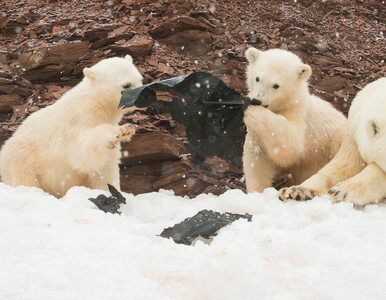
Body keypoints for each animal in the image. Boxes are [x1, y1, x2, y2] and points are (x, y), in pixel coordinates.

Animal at [0, 55, 143, 198]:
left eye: (140, 79)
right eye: (126, 85)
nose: (144, 95)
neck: (97, 103)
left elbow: (106, 166)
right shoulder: (78, 120)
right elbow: (84, 150)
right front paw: (122, 131)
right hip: (22, 159)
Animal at [241, 47, 346, 192]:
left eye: (276, 85)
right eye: (257, 78)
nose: (257, 100)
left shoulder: (299, 115)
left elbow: (292, 146)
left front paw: (256, 113)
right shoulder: (256, 133)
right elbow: (257, 158)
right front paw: (257, 191)